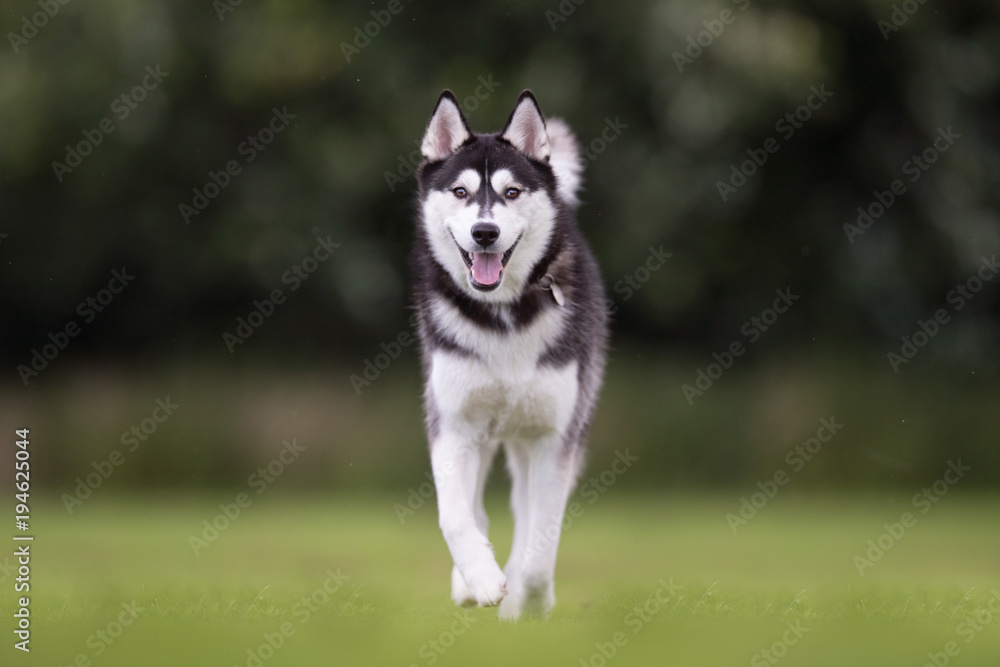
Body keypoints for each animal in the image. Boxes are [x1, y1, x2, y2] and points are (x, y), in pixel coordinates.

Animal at [412, 90, 608, 620]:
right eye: (461, 192)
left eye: (513, 192)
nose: (484, 232)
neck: (503, 315)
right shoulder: (453, 425)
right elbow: (456, 517)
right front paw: (480, 580)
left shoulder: (554, 438)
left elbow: (541, 541)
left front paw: (529, 602)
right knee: (476, 507)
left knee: (525, 512)